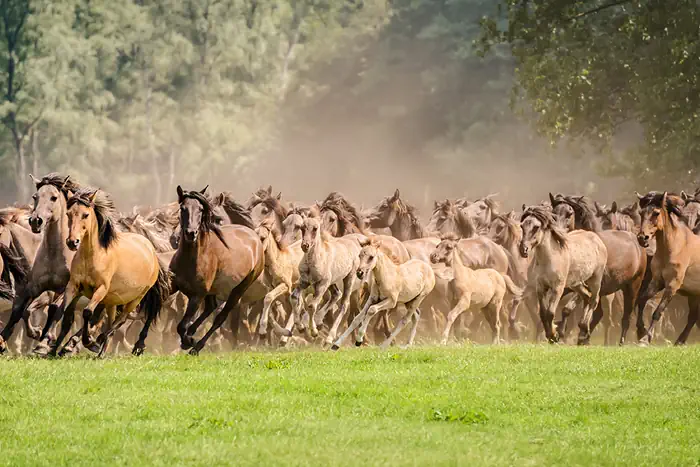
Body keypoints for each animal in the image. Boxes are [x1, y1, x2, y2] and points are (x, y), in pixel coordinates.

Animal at [51, 188, 171, 356]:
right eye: (68, 214)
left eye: (85, 215)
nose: (72, 242)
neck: (93, 256)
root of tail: (152, 250)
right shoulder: (73, 286)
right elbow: (61, 310)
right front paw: (50, 348)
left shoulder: (101, 289)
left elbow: (87, 312)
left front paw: (88, 342)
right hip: (113, 300)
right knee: (112, 321)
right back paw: (100, 352)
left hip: (136, 298)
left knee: (121, 320)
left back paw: (100, 341)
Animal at [170, 186, 266, 354]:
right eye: (182, 208)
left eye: (201, 209)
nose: (191, 233)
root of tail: (254, 237)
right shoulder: (176, 286)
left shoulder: (197, 295)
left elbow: (181, 326)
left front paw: (189, 341)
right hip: (213, 291)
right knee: (210, 308)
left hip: (239, 289)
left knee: (220, 317)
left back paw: (197, 346)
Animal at [516, 207, 608, 344]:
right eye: (522, 226)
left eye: (536, 227)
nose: (523, 250)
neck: (550, 258)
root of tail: (597, 240)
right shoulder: (541, 287)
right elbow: (543, 313)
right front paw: (552, 333)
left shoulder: (557, 288)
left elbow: (550, 312)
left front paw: (554, 335)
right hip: (576, 283)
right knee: (587, 296)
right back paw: (582, 330)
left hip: (595, 279)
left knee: (594, 300)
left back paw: (583, 333)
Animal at [636, 192, 700, 346]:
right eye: (641, 213)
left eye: (656, 213)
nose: (642, 238)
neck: (674, 247)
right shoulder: (657, 281)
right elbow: (642, 300)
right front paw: (641, 331)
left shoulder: (672, 285)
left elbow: (657, 312)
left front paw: (645, 339)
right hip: (694, 295)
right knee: (693, 317)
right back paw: (680, 341)